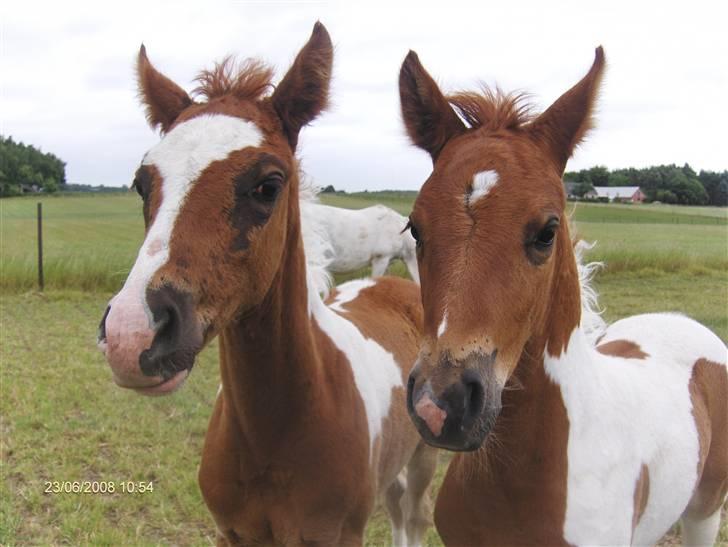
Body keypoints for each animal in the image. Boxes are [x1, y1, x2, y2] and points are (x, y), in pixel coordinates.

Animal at [99, 23, 436, 544]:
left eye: (268, 185)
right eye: (141, 182)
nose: (133, 333)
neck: (272, 439)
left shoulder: (338, 534)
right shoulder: (232, 532)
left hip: (425, 457)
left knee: (412, 517)